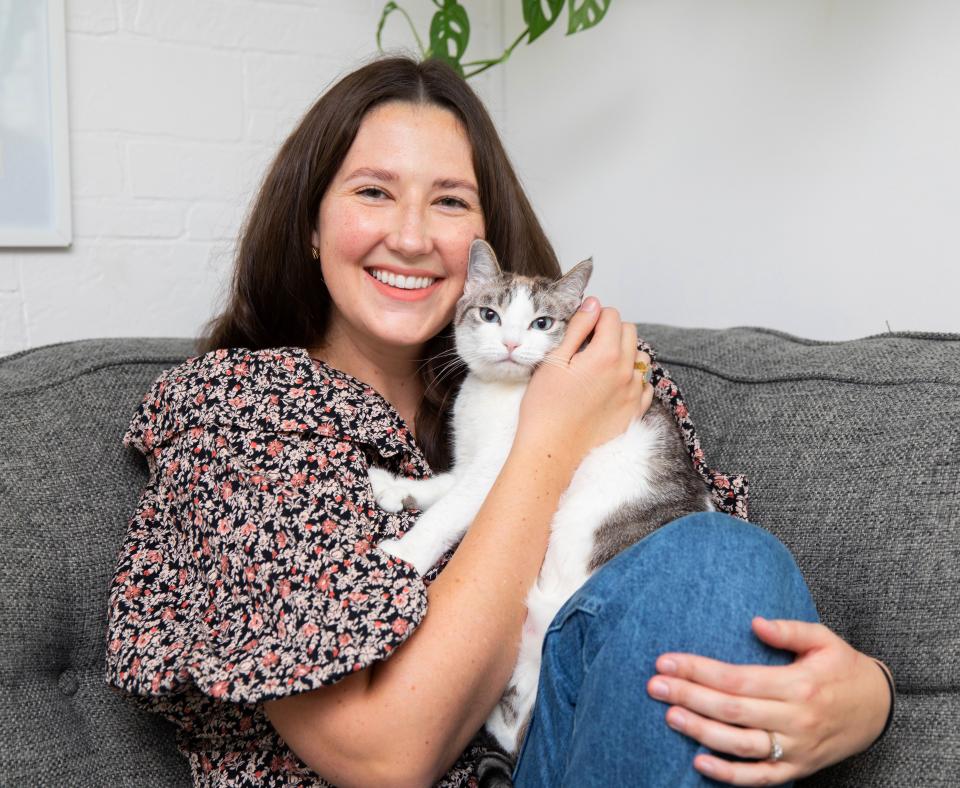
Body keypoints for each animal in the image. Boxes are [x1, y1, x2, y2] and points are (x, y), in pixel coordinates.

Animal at [368, 237, 712, 780]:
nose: (510, 344)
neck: (495, 397)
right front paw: (398, 489)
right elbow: (447, 486)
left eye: (542, 323)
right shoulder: (473, 461)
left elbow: (450, 510)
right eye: (490, 315)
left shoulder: (499, 469)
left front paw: (406, 551)